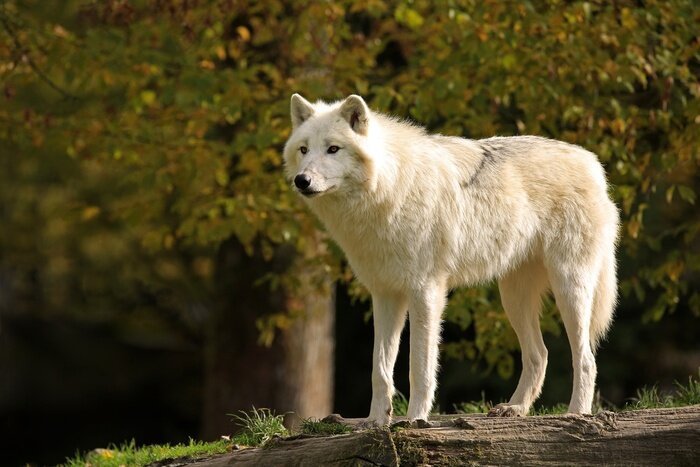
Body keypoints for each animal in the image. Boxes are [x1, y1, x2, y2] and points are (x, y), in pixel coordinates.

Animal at [283, 94, 619, 425]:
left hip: (569, 289)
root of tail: (592, 163)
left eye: (333, 149)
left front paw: (414, 419)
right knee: (540, 355)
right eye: (304, 149)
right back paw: (515, 409)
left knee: (586, 358)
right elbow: (380, 369)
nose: (302, 180)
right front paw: (375, 423)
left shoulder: (426, 292)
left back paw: (577, 413)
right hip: (513, 298)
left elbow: (418, 366)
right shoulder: (385, 295)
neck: (390, 188)